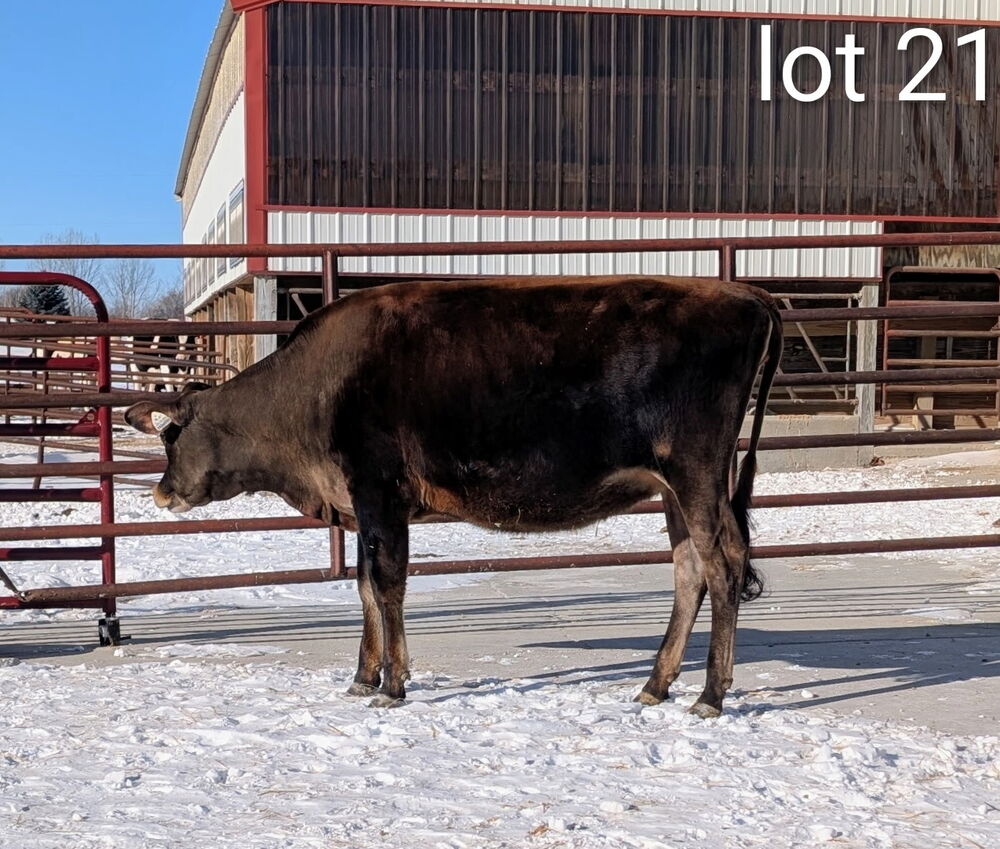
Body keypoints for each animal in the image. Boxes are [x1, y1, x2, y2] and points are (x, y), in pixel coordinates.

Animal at [125, 276, 782, 717]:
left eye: (172, 437)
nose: (161, 493)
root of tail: (745, 294)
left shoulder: (379, 491)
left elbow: (386, 585)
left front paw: (392, 686)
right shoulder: (362, 505)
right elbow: (364, 587)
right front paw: (364, 676)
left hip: (696, 474)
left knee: (722, 567)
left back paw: (710, 694)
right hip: (673, 488)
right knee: (689, 572)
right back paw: (655, 684)